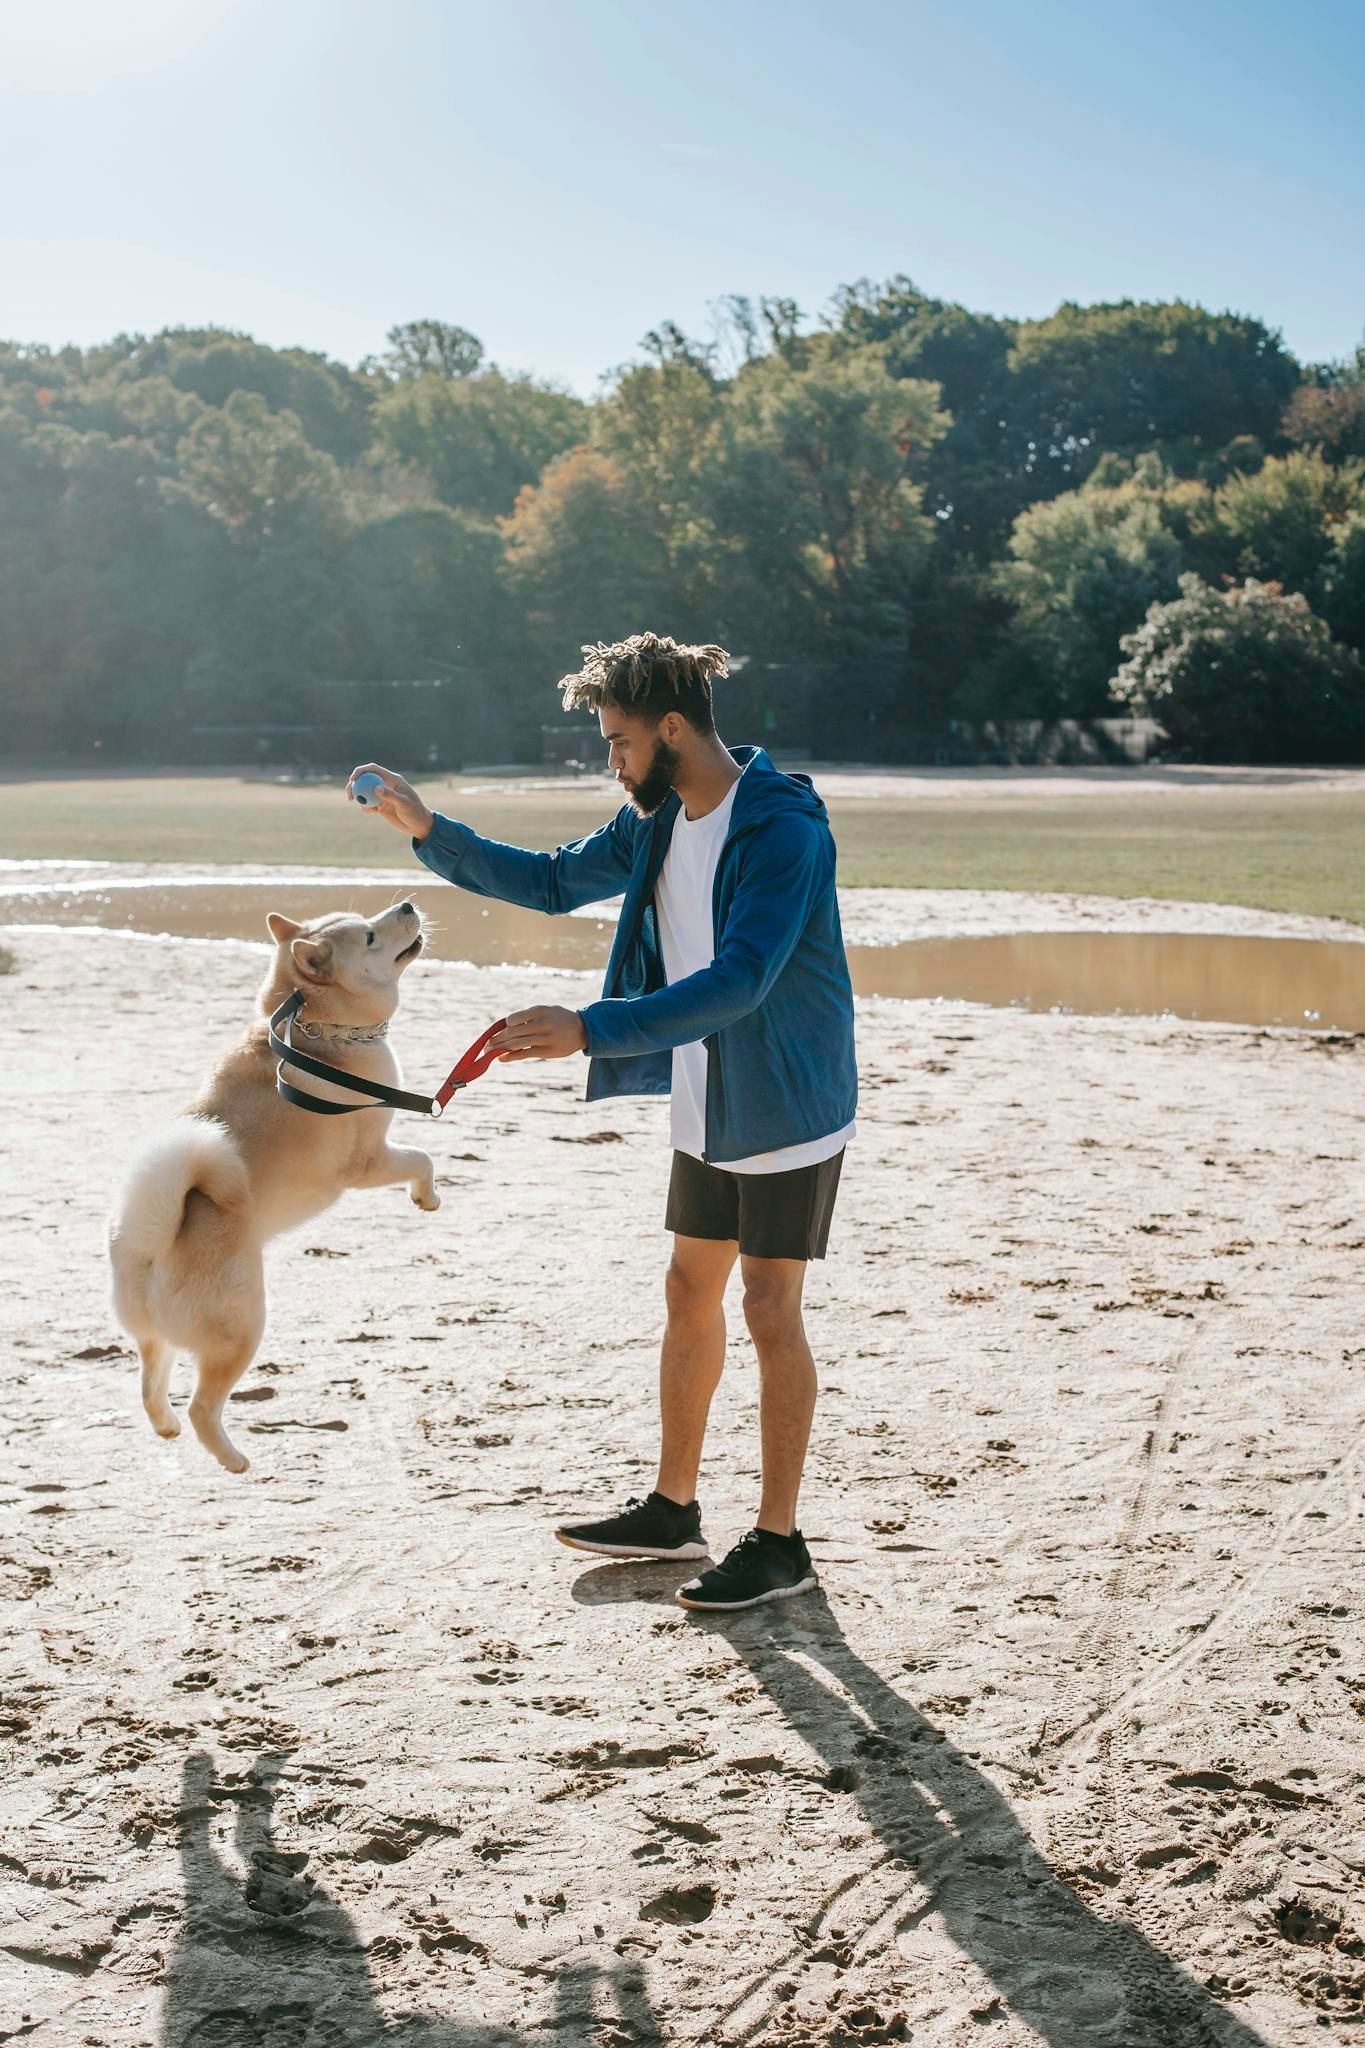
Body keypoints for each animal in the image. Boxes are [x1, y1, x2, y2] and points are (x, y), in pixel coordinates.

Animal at [109, 901, 435, 1474]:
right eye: (370, 936)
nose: (407, 904)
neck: (319, 1029)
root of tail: (151, 1244)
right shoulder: (368, 1162)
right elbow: (422, 1158)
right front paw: (427, 1196)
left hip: (156, 1336)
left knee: (150, 1383)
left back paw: (166, 1425)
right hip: (243, 1329)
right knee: (202, 1407)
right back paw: (233, 1459)